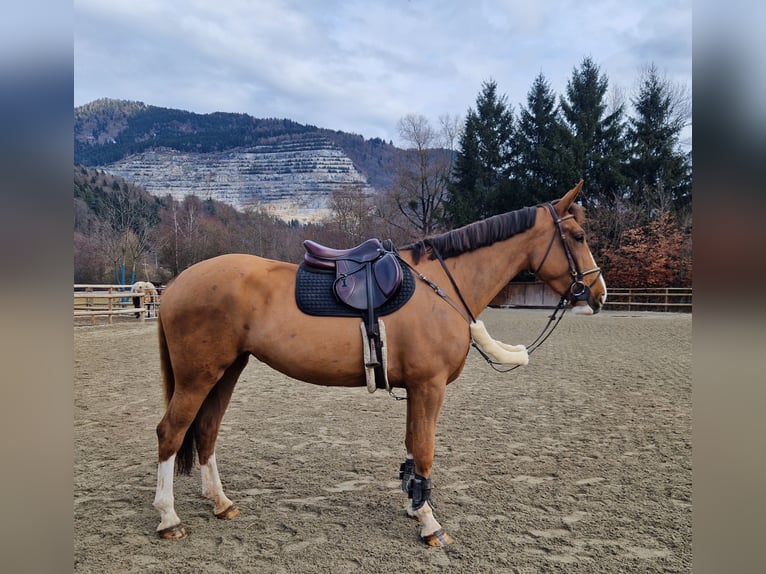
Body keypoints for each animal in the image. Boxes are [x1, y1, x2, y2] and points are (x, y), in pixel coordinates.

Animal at [152, 181, 607, 546]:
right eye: (579, 235)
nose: (599, 293)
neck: (443, 287)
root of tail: (176, 284)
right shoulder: (429, 386)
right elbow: (424, 450)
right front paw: (429, 523)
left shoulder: (417, 388)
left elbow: (412, 448)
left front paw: (415, 504)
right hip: (198, 377)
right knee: (171, 433)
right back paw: (169, 518)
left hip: (226, 371)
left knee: (206, 431)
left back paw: (220, 502)